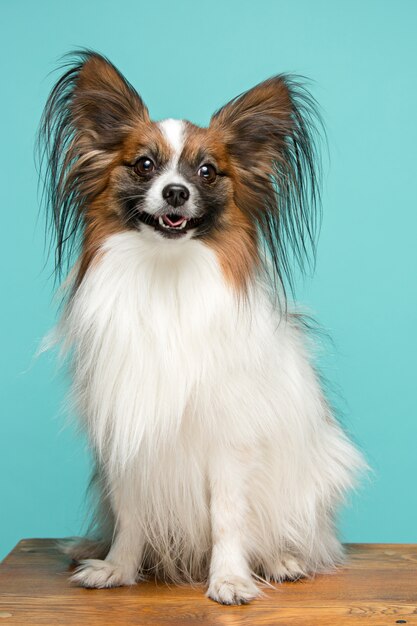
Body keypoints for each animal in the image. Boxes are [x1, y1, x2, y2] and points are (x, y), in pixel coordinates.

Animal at [39, 50, 364, 604]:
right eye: (144, 165)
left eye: (207, 172)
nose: (175, 192)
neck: (165, 275)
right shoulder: (129, 433)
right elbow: (131, 514)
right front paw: (118, 569)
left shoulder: (230, 440)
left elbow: (227, 517)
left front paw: (229, 579)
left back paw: (282, 560)